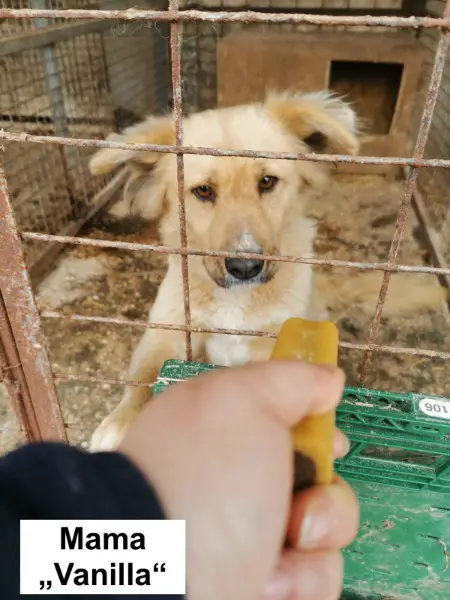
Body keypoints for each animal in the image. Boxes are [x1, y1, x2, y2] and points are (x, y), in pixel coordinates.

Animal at [87, 91, 444, 451]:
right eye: (203, 191)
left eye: (267, 181)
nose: (245, 267)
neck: (235, 300)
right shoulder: (167, 329)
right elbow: (145, 373)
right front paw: (120, 423)